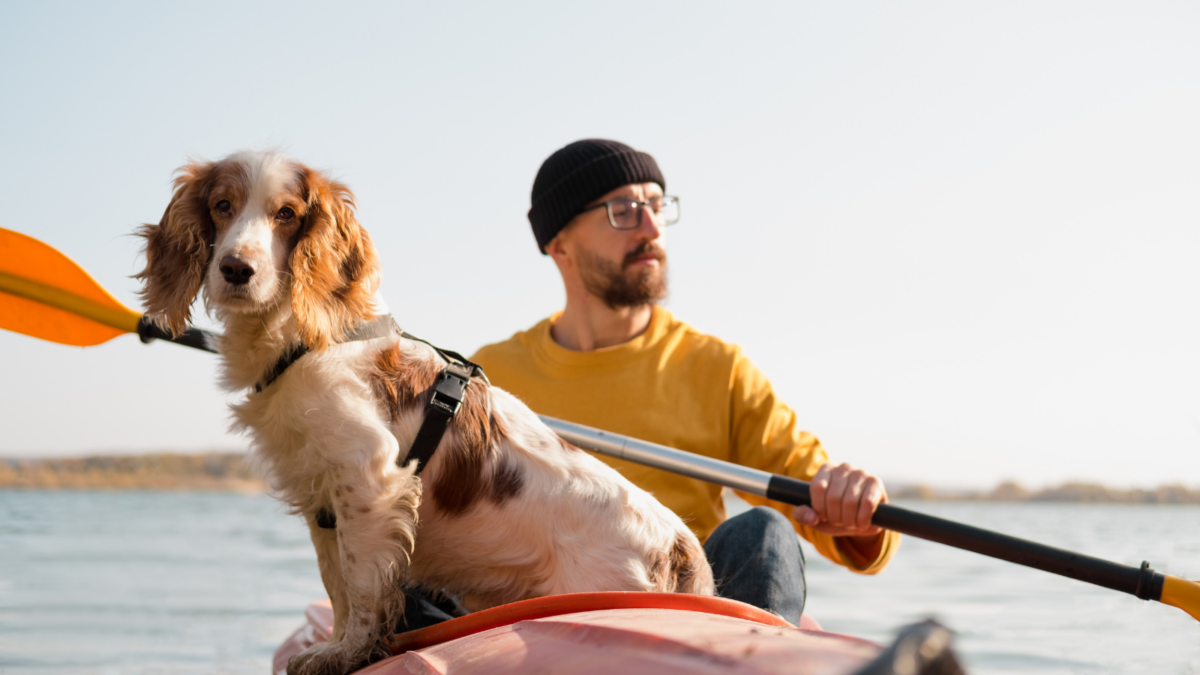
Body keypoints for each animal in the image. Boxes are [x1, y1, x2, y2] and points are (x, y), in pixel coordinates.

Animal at [133, 151, 710, 672]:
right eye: (222, 206)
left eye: (286, 213)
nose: (236, 269)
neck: (309, 337)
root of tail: (678, 544)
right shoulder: (322, 496)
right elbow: (336, 583)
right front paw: (336, 645)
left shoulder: (369, 475)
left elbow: (360, 583)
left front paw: (346, 652)